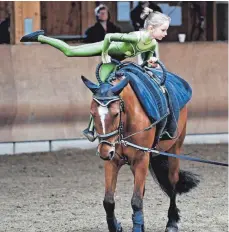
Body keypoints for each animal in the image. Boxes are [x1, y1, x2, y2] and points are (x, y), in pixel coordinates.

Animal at [81, 62, 199, 232]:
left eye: (116, 114)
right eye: (92, 113)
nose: (104, 152)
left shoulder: (141, 159)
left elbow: (136, 200)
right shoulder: (112, 161)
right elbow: (109, 201)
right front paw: (117, 226)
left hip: (174, 150)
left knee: (172, 184)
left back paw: (172, 223)